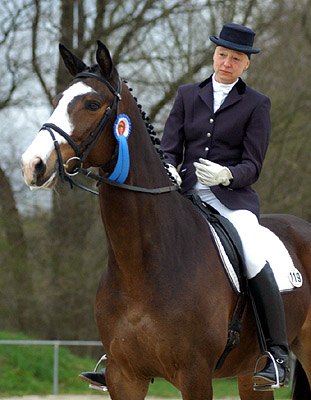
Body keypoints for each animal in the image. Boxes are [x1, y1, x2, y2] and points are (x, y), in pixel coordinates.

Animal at [21, 42, 311, 398]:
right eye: (58, 101)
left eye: (91, 104)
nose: (32, 164)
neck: (140, 265)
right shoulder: (123, 377)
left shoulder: (195, 375)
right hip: (248, 372)